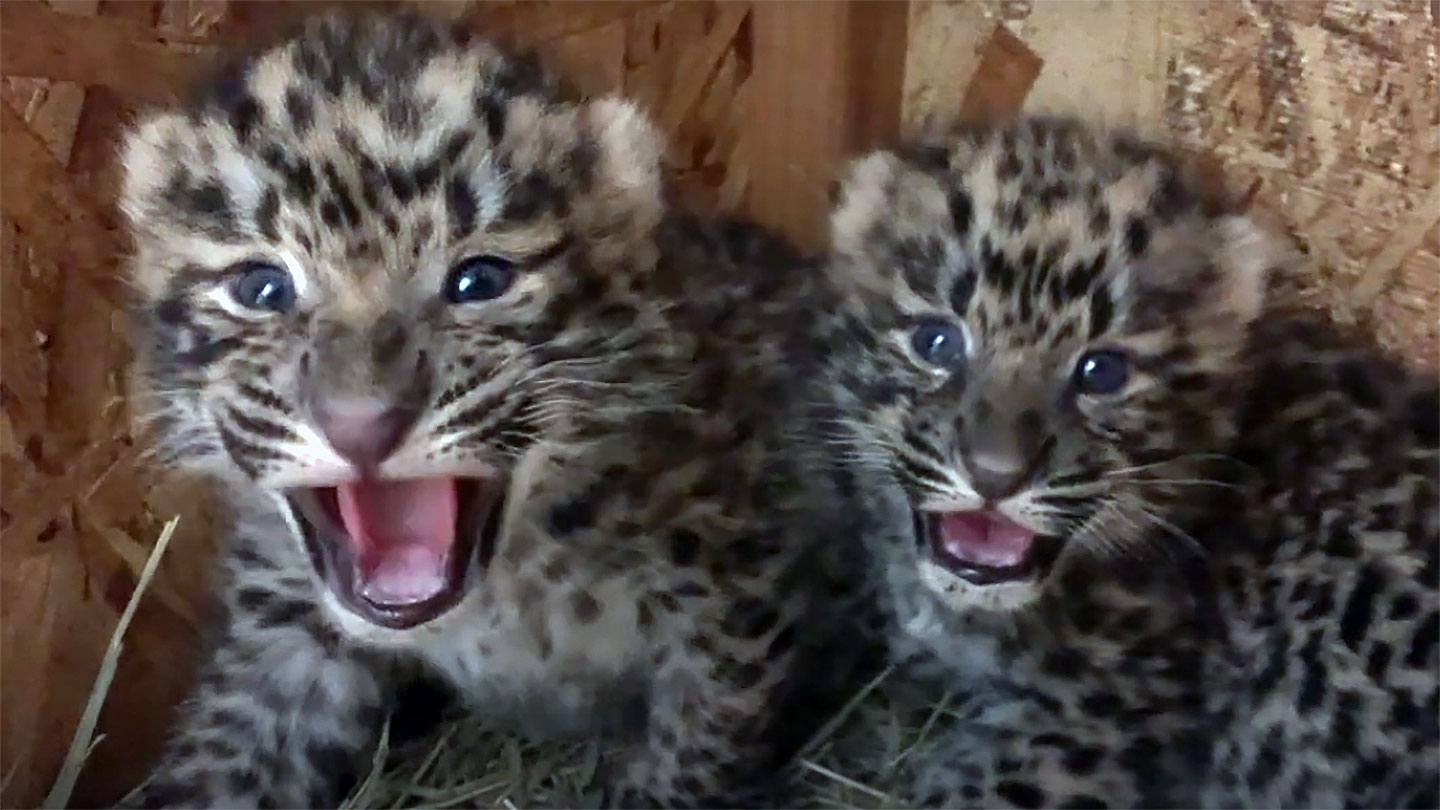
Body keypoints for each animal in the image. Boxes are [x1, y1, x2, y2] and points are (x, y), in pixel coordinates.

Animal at [114, 12, 874, 808]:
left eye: (478, 282)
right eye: (260, 289)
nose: (361, 426)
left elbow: (701, 747)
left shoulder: (739, 591)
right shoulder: (281, 633)